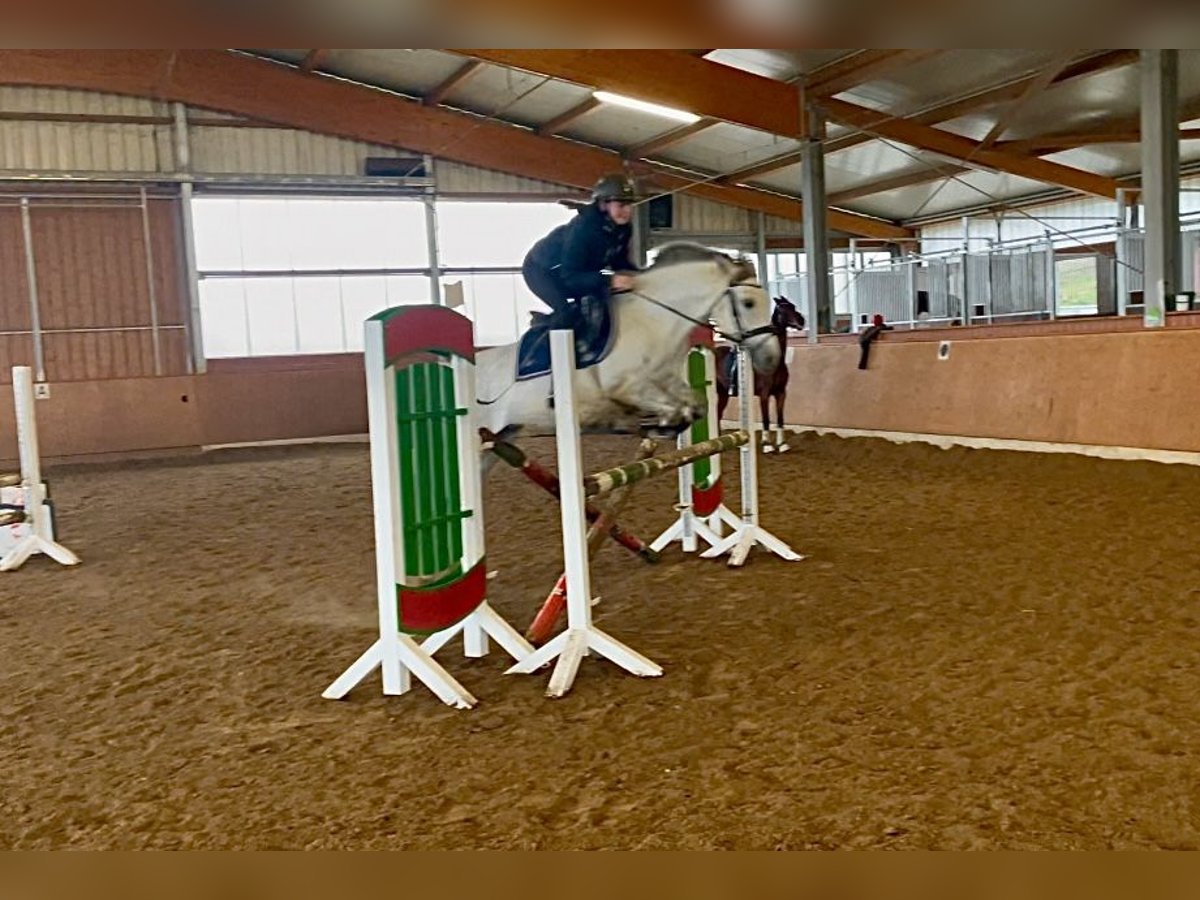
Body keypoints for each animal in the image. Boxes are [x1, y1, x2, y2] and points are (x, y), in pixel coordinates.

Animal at [472, 243, 782, 441]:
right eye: (748, 303)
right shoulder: (627, 389)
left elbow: (695, 406)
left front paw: (664, 428)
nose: (771, 359)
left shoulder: (668, 382)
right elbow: (671, 408)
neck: (652, 320)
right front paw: (653, 427)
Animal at [715, 296, 801, 451]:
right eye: (782, 310)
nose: (801, 321)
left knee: (718, 413)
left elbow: (780, 418)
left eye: (793, 307)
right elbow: (766, 419)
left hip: (723, 394)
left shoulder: (781, 393)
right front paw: (767, 445)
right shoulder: (764, 395)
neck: (774, 363)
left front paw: (782, 444)